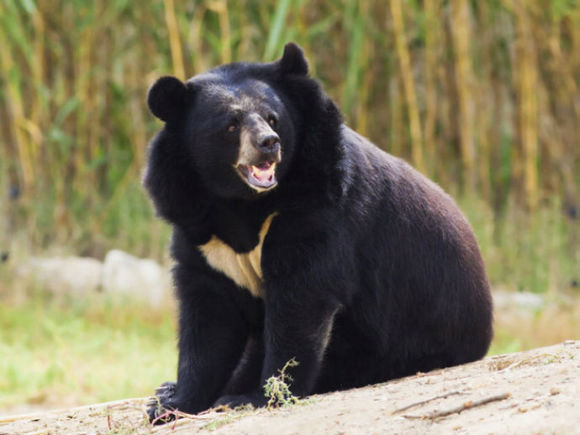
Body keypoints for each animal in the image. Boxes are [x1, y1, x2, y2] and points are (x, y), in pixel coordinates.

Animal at [143, 43, 492, 422]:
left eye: (272, 118)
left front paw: (255, 397)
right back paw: (165, 388)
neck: (242, 203)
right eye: (231, 124)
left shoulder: (318, 211)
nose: (269, 143)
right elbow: (209, 318)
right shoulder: (200, 232)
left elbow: (302, 300)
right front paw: (173, 404)